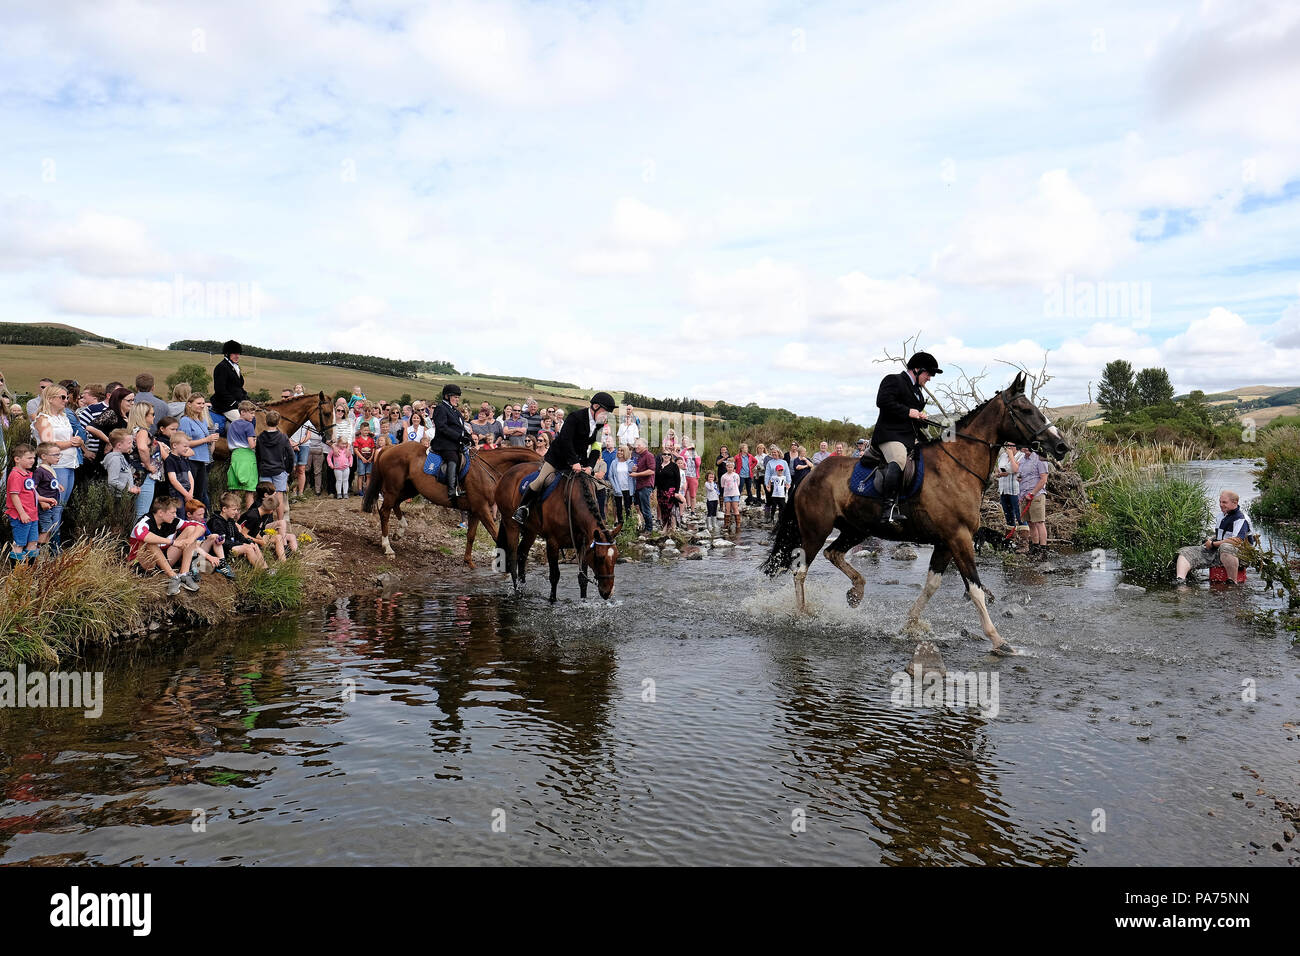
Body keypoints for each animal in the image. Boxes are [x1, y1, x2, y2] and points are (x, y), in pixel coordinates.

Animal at [358, 442, 535, 567]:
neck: (488, 469)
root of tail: (388, 448)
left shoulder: (476, 510)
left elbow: (471, 536)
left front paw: (468, 561)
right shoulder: (482, 509)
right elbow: (495, 534)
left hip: (409, 489)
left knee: (395, 505)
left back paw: (400, 531)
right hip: (393, 489)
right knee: (385, 512)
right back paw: (387, 547)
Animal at [493, 465, 621, 600]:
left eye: (616, 557)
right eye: (600, 558)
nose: (608, 592)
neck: (572, 503)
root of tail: (507, 473)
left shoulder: (583, 545)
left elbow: (582, 579)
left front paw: (583, 600)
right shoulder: (552, 543)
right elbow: (554, 576)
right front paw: (552, 600)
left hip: (530, 531)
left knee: (522, 554)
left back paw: (523, 588)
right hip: (511, 525)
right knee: (512, 558)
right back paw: (517, 592)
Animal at [759, 374, 1066, 658]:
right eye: (1025, 410)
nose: (1061, 446)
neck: (958, 466)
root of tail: (809, 475)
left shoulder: (946, 541)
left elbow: (932, 585)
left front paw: (910, 625)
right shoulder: (959, 537)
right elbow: (976, 589)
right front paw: (998, 640)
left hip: (855, 529)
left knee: (833, 553)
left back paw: (856, 592)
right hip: (815, 531)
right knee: (800, 571)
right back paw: (802, 614)